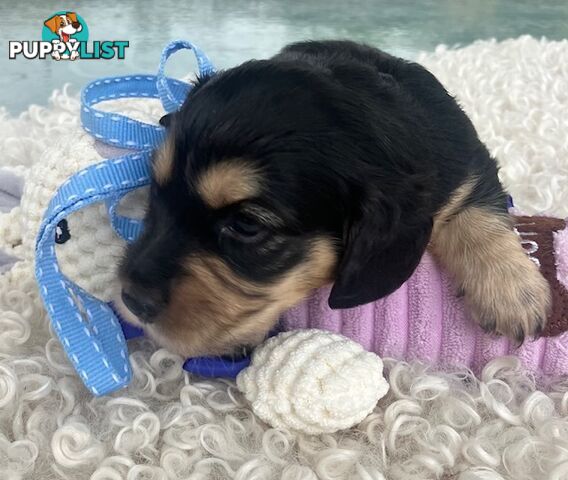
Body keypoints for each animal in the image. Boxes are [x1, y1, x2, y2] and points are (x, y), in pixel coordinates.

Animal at [116, 40, 552, 356]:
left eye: (246, 225)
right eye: (156, 191)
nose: (131, 300)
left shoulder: (468, 164)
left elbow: (480, 212)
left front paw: (512, 293)